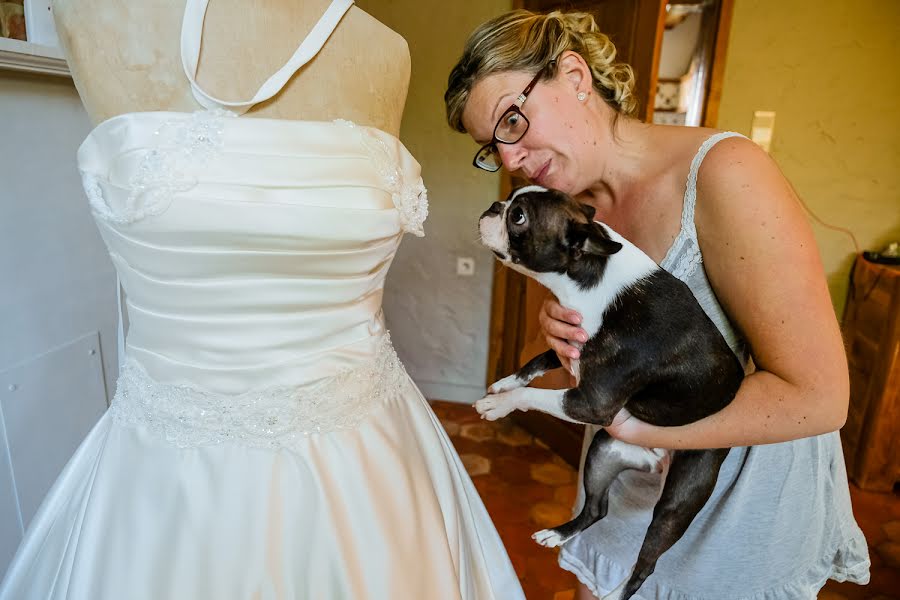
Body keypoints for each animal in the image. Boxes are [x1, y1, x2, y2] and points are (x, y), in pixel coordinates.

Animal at [474, 185, 740, 596]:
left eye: (518, 216)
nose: (494, 205)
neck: (591, 279)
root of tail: (657, 460)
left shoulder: (592, 403)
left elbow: (533, 396)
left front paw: (500, 405)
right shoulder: (572, 343)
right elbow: (539, 359)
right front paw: (506, 383)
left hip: (677, 500)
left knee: (647, 563)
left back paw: (618, 592)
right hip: (603, 451)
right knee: (597, 508)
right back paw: (557, 533)